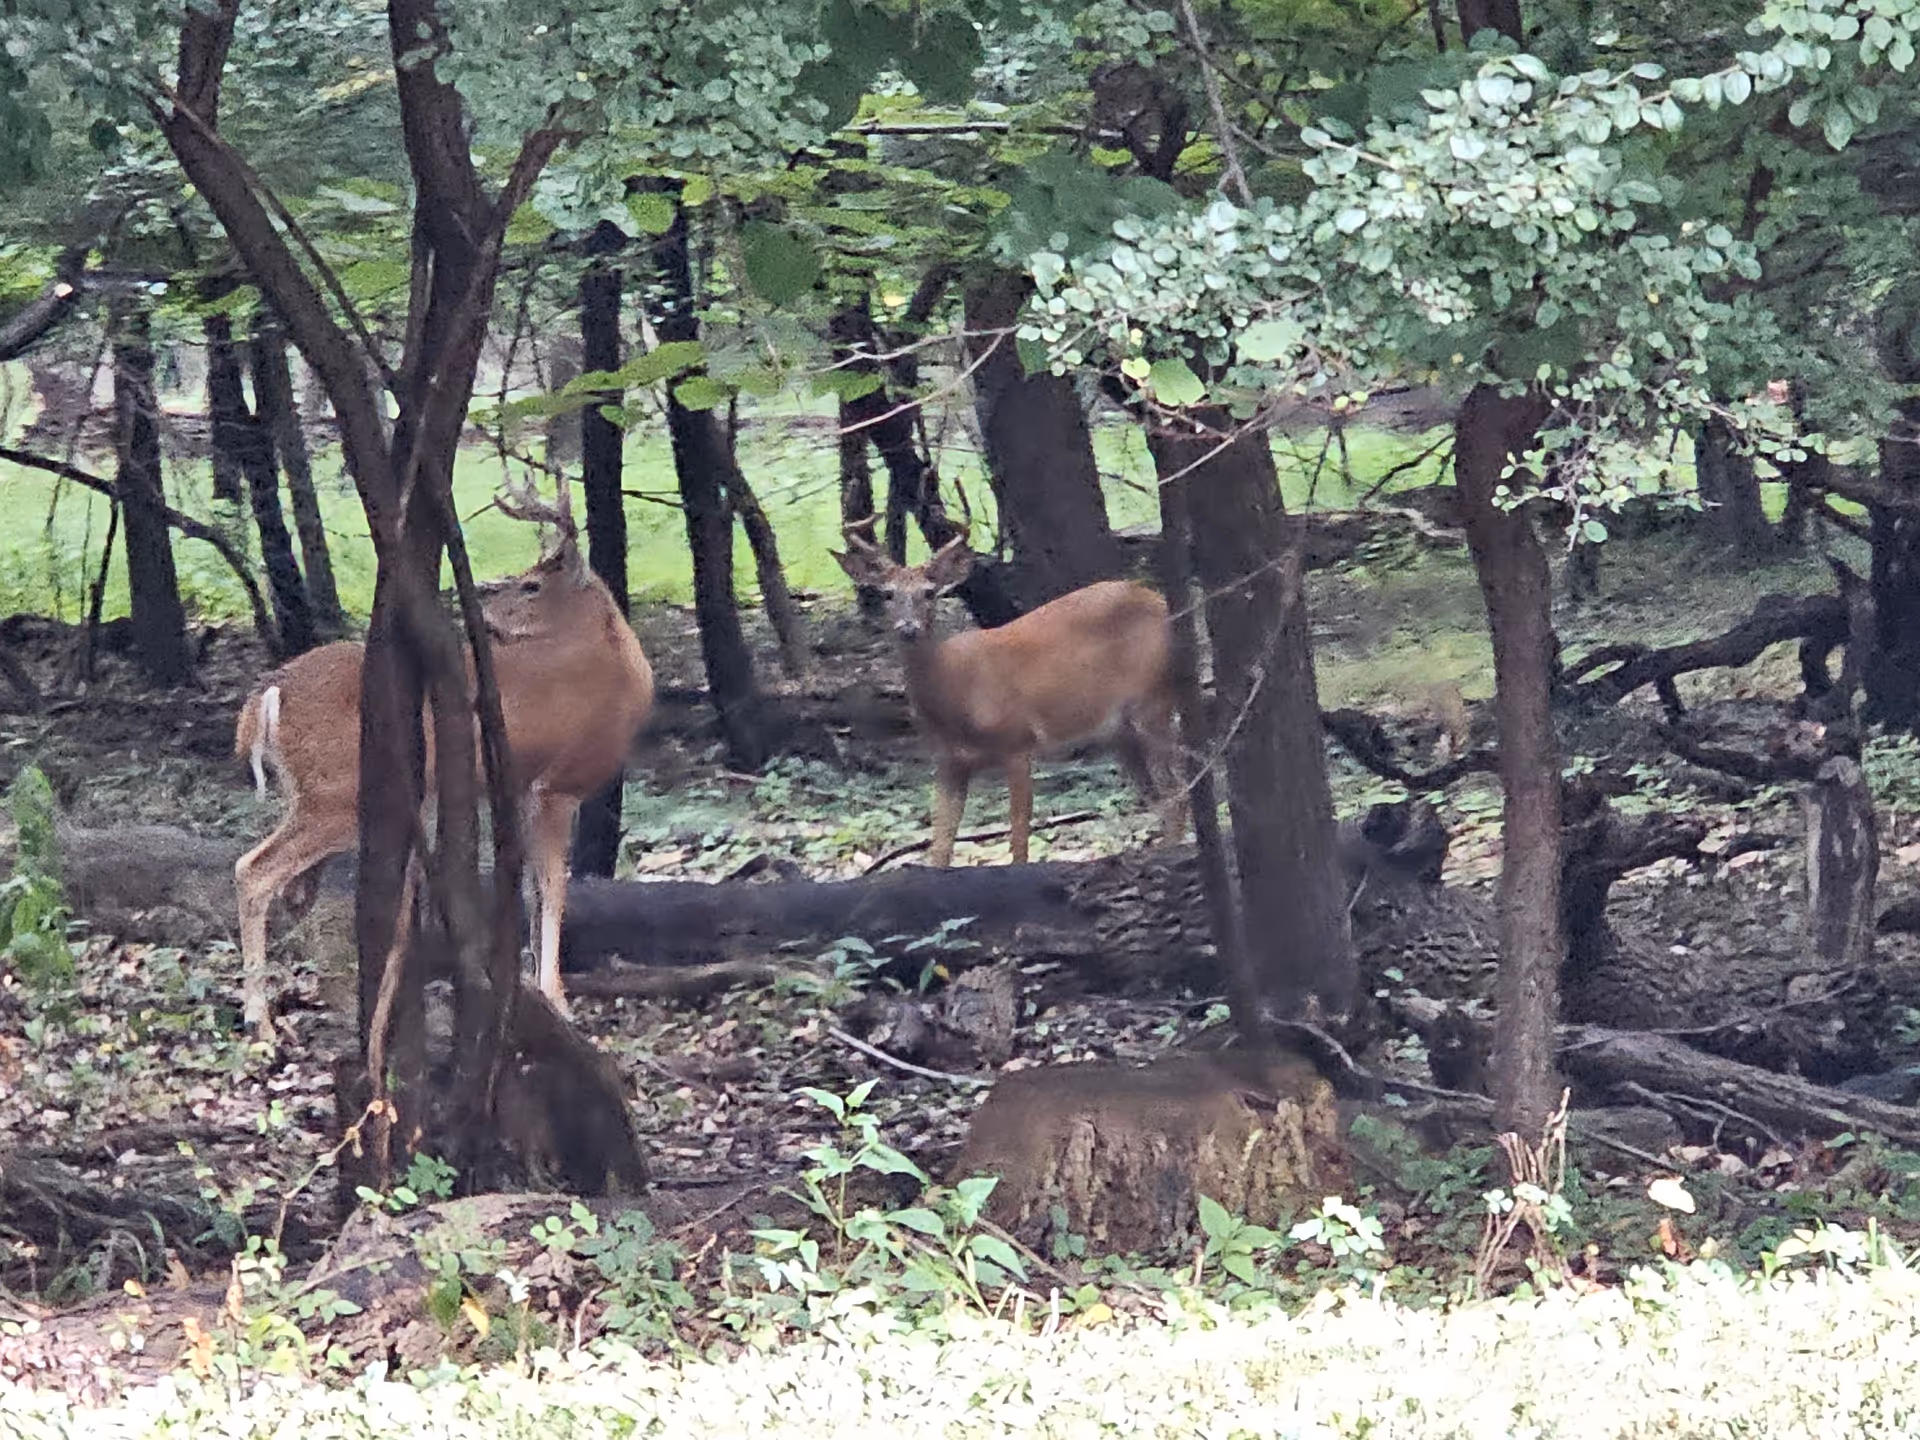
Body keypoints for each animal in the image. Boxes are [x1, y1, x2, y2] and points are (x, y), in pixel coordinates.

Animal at [230, 483, 654, 1041]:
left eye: (531, 584)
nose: (486, 617)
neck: (615, 680)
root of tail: (267, 694)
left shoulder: (522, 789)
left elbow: (529, 888)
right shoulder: (556, 785)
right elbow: (554, 886)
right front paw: (557, 999)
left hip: (305, 792)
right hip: (337, 796)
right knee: (252, 870)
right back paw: (260, 1020)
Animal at [831, 524, 1187, 867]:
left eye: (929, 593)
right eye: (887, 594)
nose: (908, 628)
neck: (956, 691)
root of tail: (1162, 603)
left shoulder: (1018, 742)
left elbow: (1018, 838)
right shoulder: (948, 761)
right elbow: (940, 847)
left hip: (1152, 699)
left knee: (1177, 790)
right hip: (1120, 734)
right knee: (1159, 796)